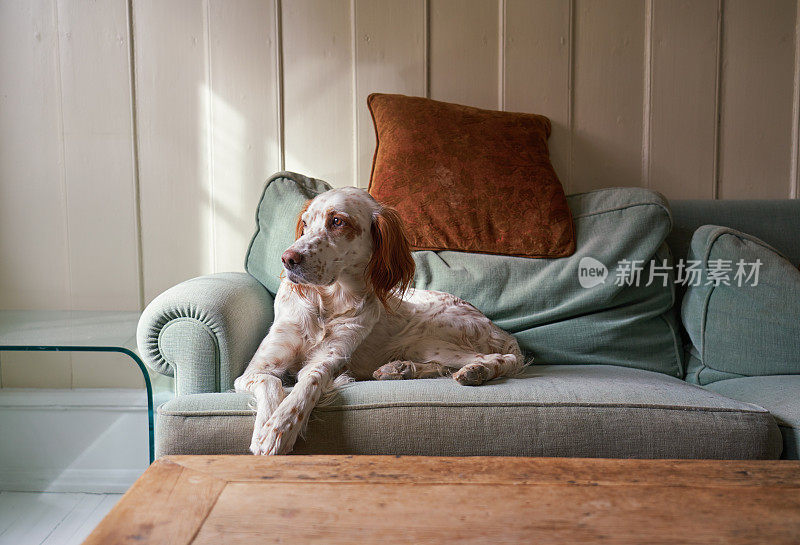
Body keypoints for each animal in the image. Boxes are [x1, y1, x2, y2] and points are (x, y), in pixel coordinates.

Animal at [234, 187, 528, 454]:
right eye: (305, 224)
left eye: (337, 221)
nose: (288, 259)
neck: (329, 304)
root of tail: (497, 328)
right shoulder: (255, 370)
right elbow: (271, 382)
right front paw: (265, 427)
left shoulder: (328, 359)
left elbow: (308, 384)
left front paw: (279, 428)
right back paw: (400, 369)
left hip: (428, 340)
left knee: (501, 359)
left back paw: (474, 372)